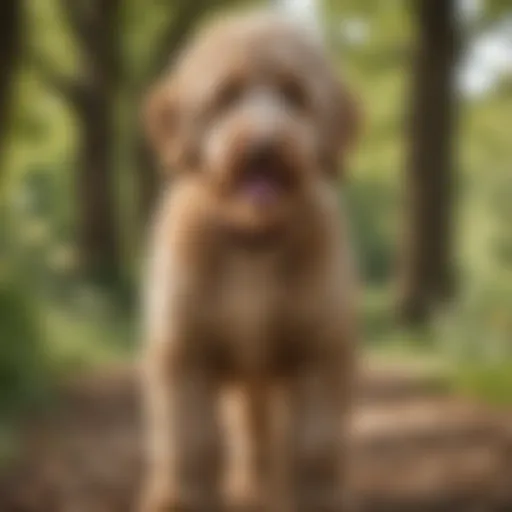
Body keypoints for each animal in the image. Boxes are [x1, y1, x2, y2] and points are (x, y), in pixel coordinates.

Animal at [140, 9, 360, 512]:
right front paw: (182, 500)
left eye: (295, 94)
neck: (253, 243)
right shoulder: (184, 353)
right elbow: (191, 442)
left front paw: (317, 498)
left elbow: (315, 446)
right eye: (226, 95)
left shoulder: (319, 352)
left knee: (263, 435)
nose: (264, 146)